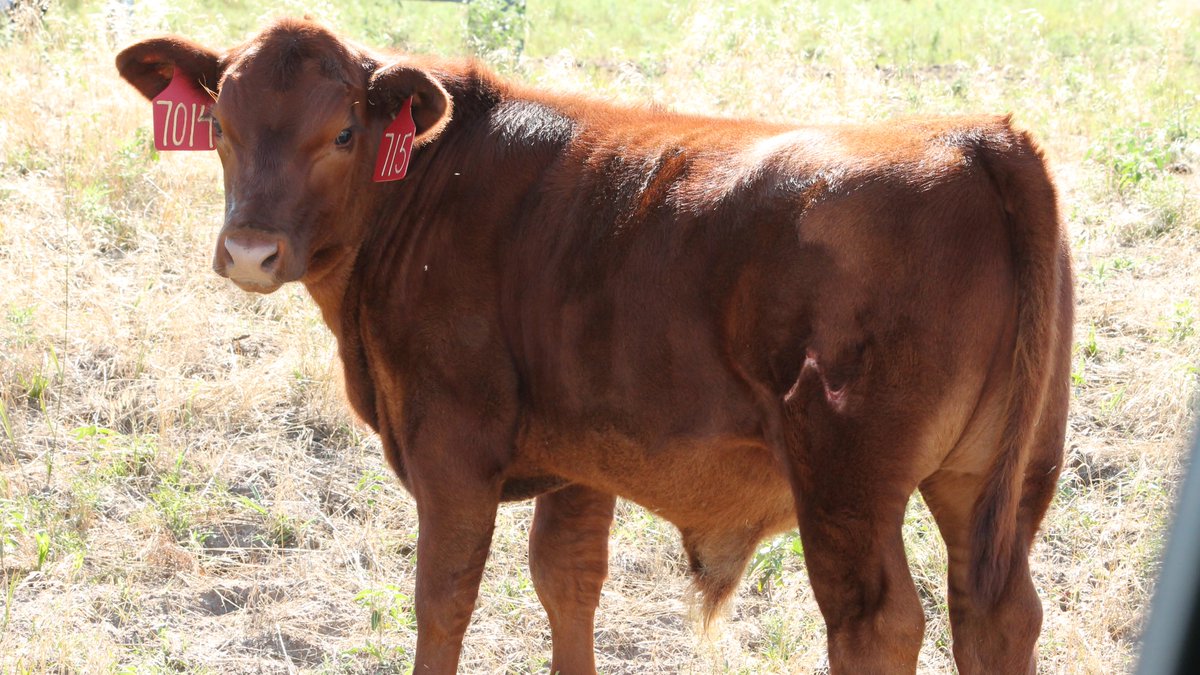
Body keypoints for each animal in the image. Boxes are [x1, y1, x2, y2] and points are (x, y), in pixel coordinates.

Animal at [116, 17, 1073, 675]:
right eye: (223, 125)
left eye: (344, 133)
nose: (249, 250)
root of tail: (977, 138)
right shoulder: (582, 451)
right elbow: (568, 580)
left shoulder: (451, 447)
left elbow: (444, 597)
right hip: (999, 474)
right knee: (996, 613)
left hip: (846, 484)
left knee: (877, 624)